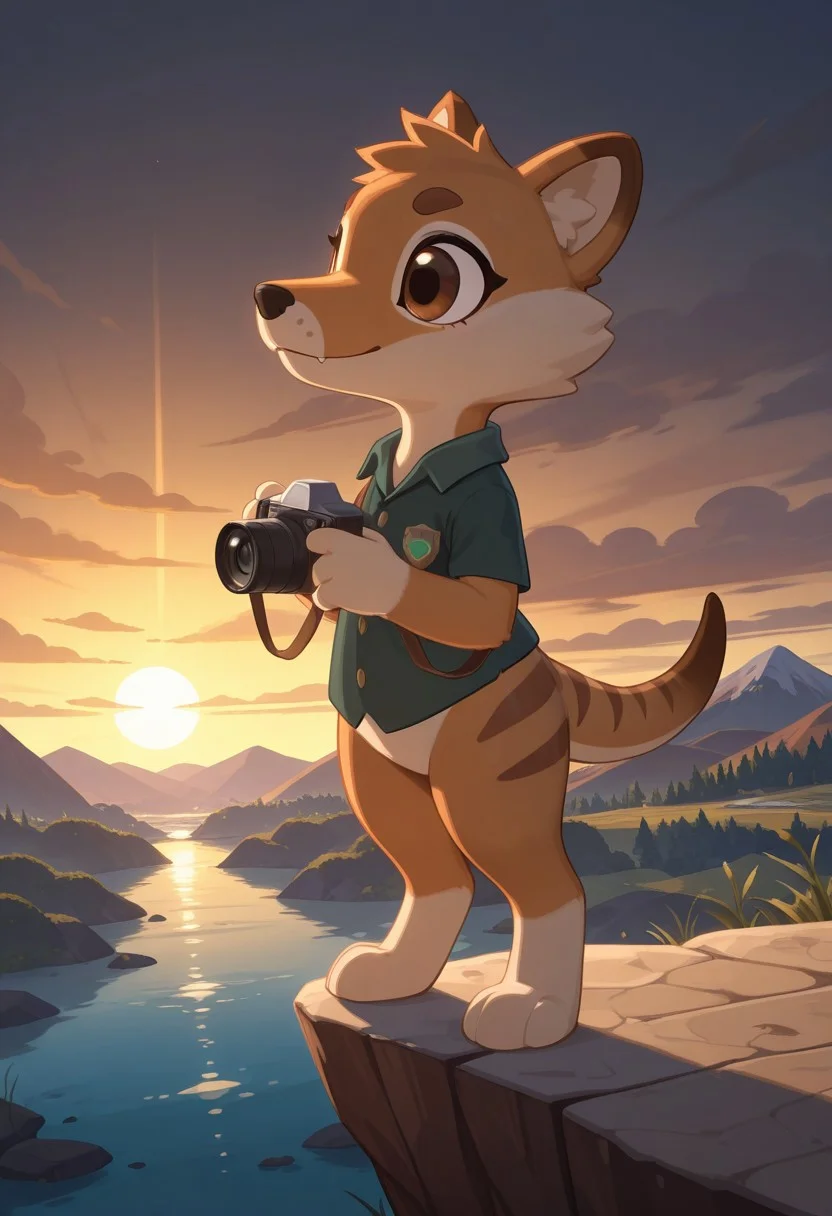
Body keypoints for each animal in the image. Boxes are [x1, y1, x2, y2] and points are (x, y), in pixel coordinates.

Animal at [243, 91, 726, 1050]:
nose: (274, 296)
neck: (424, 439)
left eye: (430, 278)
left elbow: (475, 609)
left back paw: (534, 1006)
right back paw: (394, 973)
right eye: (338, 242)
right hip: (370, 761)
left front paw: (361, 572)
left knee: (536, 876)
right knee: (429, 863)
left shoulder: (495, 518)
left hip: (494, 756)